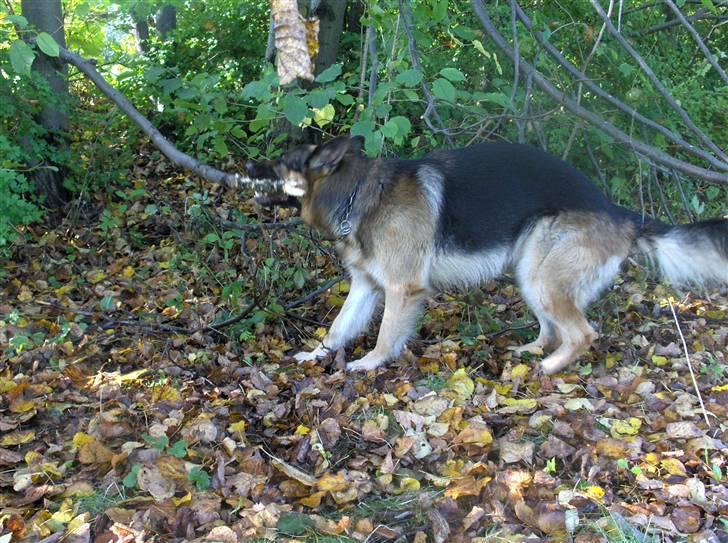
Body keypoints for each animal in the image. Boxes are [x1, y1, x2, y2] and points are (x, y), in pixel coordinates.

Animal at [246, 137, 728, 374]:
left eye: (281, 160)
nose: (247, 166)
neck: (358, 194)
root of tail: (619, 211)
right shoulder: (366, 287)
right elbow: (337, 329)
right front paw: (315, 356)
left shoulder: (402, 290)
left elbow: (385, 335)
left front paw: (369, 364)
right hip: (530, 272)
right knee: (553, 329)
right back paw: (532, 351)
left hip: (543, 276)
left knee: (582, 334)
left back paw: (550, 367)